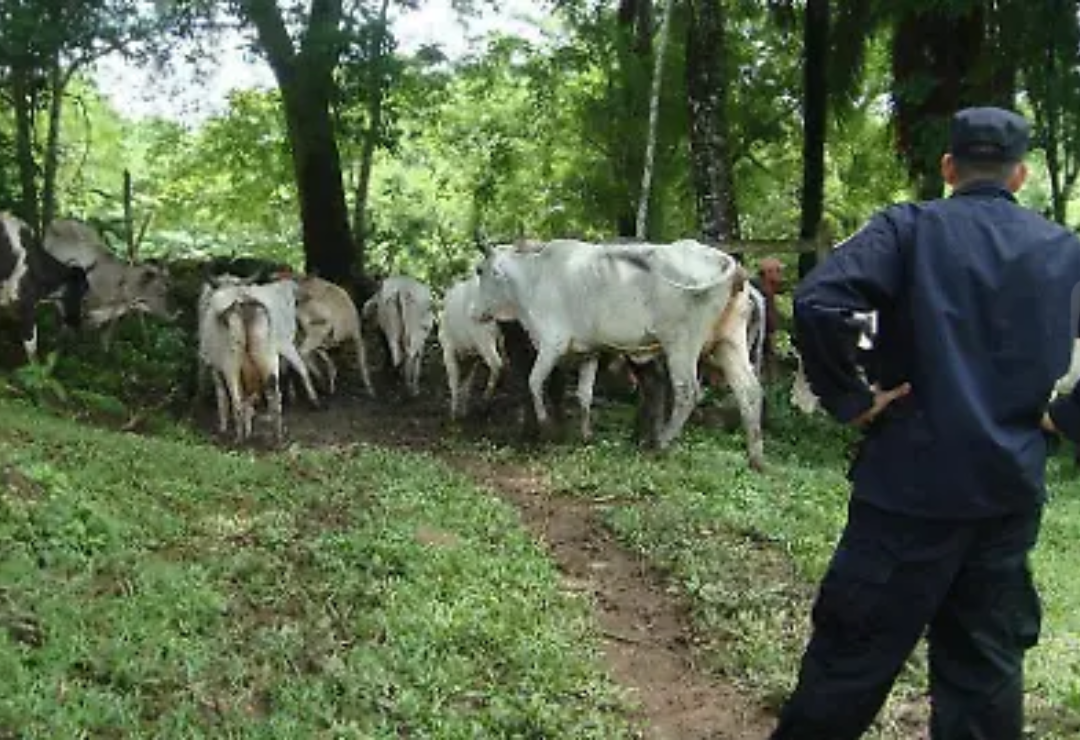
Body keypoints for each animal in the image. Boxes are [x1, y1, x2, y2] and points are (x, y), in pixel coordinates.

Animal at [436, 274, 503, 419]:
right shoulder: (473, 356)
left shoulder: (447, 348)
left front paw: (454, 412)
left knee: (497, 363)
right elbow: (467, 381)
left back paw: (485, 399)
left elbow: (454, 378)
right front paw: (462, 409)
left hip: (484, 337)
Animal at [473, 239, 743, 453]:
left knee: (688, 391)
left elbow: (535, 382)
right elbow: (583, 394)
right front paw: (585, 435)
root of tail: (720, 257)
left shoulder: (552, 345)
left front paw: (546, 427)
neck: (534, 279)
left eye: (480, 270)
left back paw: (662, 443)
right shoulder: (588, 352)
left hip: (681, 344)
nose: (474, 312)